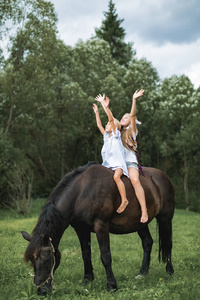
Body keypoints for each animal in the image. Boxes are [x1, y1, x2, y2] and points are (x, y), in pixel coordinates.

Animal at [21, 162, 174, 296]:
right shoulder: (81, 229)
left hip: (165, 219)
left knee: (168, 244)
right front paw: (87, 279)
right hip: (141, 223)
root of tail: (163, 177)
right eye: (32, 261)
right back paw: (142, 273)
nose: (42, 291)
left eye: (47, 259)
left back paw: (170, 271)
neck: (81, 192)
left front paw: (112, 286)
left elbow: (105, 256)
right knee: (147, 242)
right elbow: (85, 254)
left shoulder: (101, 226)